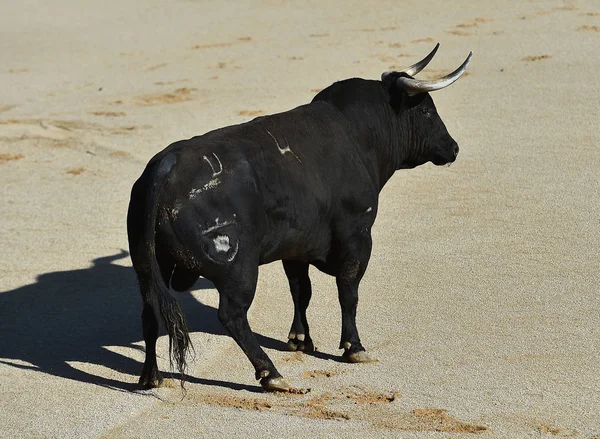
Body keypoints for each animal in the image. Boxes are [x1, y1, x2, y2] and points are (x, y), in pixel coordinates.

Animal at [127, 47, 474, 392]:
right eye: (426, 111)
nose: (454, 147)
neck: (359, 133)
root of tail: (166, 166)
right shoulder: (357, 235)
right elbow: (348, 291)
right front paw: (354, 347)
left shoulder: (295, 246)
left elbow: (300, 289)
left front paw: (299, 339)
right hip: (239, 269)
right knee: (232, 316)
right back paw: (271, 374)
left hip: (148, 266)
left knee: (149, 309)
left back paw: (151, 376)